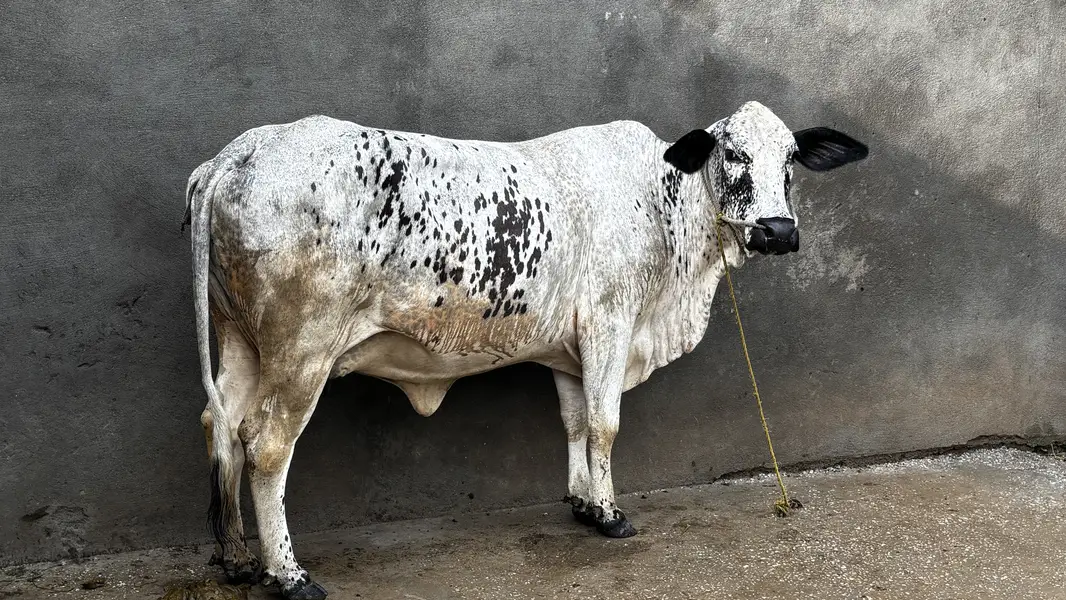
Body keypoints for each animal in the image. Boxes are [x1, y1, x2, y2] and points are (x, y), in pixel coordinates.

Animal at [185, 100, 867, 599]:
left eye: (792, 159)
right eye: (733, 153)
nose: (777, 231)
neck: (663, 202)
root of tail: (244, 149)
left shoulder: (569, 351)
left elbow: (574, 422)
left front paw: (583, 501)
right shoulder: (609, 325)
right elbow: (605, 423)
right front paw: (611, 514)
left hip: (241, 343)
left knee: (221, 426)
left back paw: (237, 558)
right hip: (302, 352)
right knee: (265, 446)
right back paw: (288, 574)